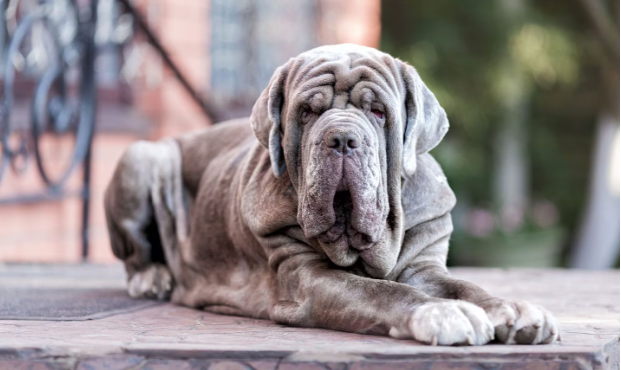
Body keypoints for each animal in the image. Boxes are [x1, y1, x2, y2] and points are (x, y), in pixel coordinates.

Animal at [104, 44, 560, 346]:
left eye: (378, 112)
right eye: (307, 112)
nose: (341, 138)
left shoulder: (424, 266)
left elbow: (465, 286)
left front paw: (513, 309)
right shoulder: (307, 278)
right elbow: (382, 292)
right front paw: (442, 312)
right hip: (144, 156)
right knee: (135, 255)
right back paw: (153, 277)